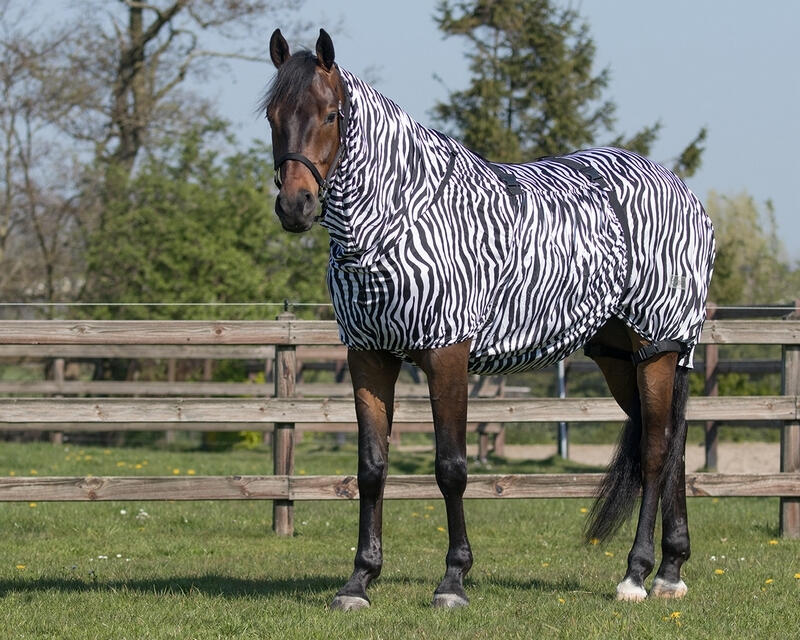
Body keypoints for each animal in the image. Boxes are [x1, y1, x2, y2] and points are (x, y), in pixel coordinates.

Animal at [263, 28, 715, 610]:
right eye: (272, 114)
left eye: (330, 114)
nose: (295, 206)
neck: (401, 216)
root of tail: (682, 191)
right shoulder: (368, 355)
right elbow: (372, 469)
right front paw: (359, 581)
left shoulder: (446, 354)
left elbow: (451, 469)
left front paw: (453, 580)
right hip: (621, 356)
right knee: (673, 445)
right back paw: (671, 571)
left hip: (656, 346)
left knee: (657, 452)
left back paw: (636, 576)